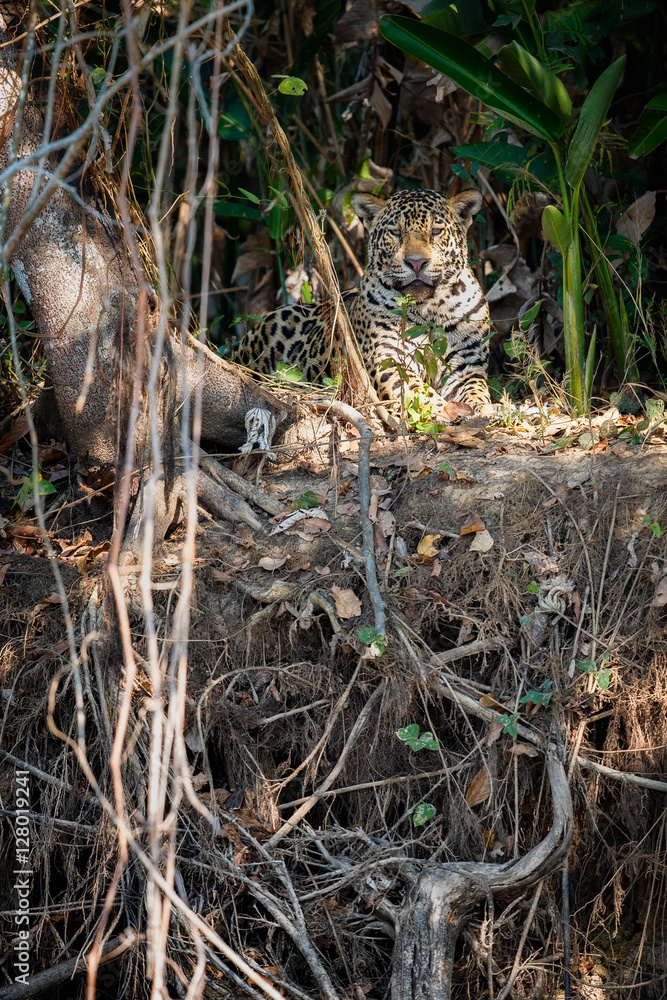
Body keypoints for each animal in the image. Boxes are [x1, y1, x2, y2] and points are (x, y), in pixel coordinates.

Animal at [230, 188, 491, 416]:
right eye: (396, 233)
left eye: (436, 231)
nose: (417, 262)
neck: (429, 307)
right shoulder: (387, 359)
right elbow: (414, 390)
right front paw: (440, 409)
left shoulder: (466, 362)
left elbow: (476, 389)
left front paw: (486, 409)